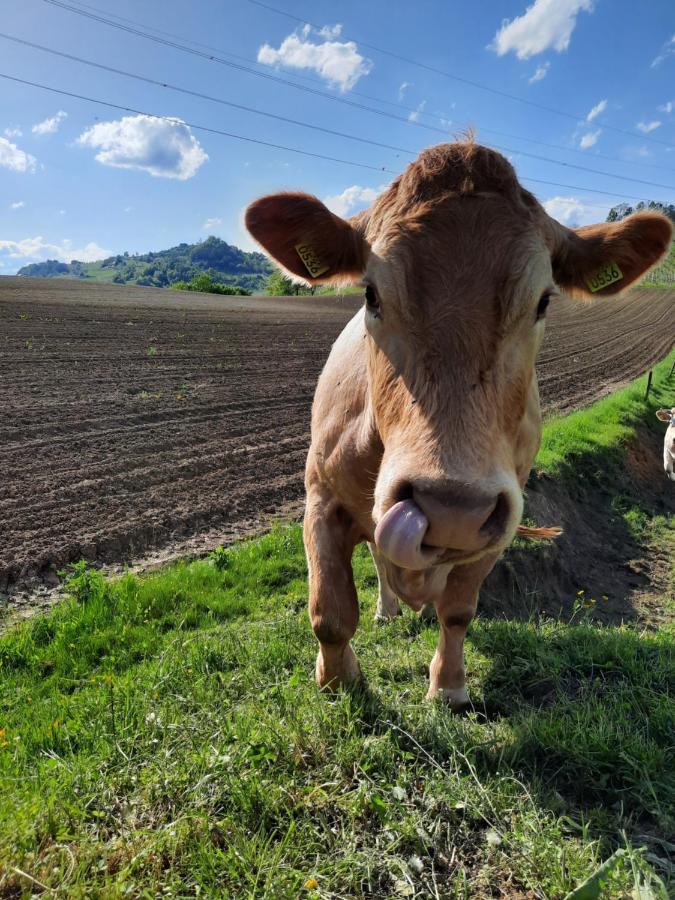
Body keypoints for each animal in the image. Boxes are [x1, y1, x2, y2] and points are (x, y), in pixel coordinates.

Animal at [246, 141, 672, 712]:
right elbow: (329, 613)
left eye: (543, 301)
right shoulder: (319, 497)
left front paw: (448, 685)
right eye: (371, 294)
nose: (451, 508)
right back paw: (387, 610)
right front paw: (340, 682)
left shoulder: (498, 521)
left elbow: (459, 611)